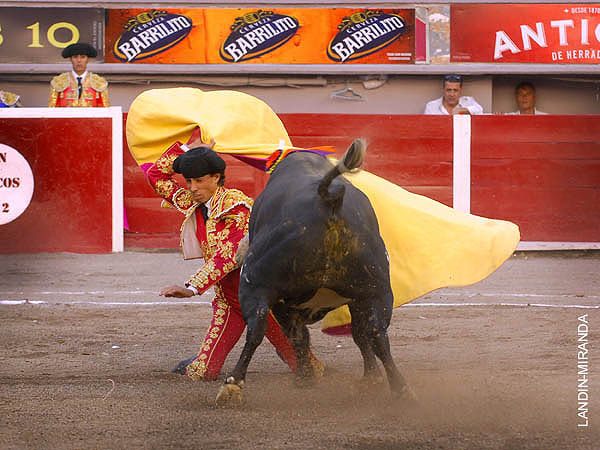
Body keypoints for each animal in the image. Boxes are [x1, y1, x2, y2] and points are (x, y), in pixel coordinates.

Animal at [216, 139, 414, 405]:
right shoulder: (357, 298)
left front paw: (305, 376)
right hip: (378, 290)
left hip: (255, 285)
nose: (239, 252)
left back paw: (233, 385)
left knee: (256, 328)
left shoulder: (282, 303)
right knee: (377, 334)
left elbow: (297, 336)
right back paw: (400, 388)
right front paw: (371, 380)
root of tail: (327, 199)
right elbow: (359, 334)